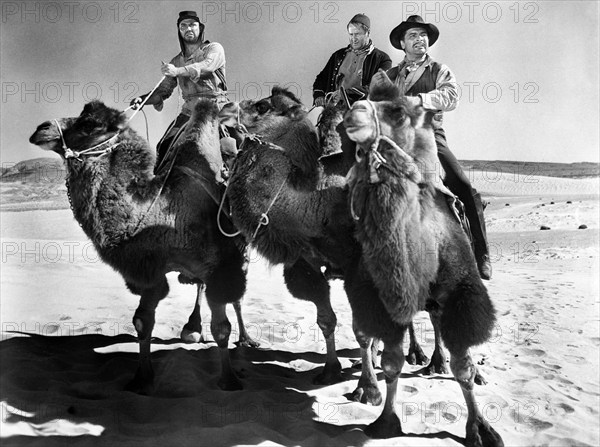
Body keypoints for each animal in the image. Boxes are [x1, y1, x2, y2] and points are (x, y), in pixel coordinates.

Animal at [28, 100, 251, 394]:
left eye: (89, 124)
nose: (41, 129)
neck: (164, 213)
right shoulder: (149, 269)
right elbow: (143, 321)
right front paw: (142, 379)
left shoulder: (221, 265)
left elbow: (222, 327)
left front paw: (230, 380)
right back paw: (193, 328)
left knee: (234, 297)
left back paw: (246, 339)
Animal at [342, 83, 502, 444]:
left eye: (398, 111)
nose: (353, 114)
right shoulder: (382, 298)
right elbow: (390, 361)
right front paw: (385, 421)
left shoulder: (460, 290)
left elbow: (463, 366)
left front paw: (480, 428)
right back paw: (424, 359)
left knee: (445, 326)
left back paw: (453, 367)